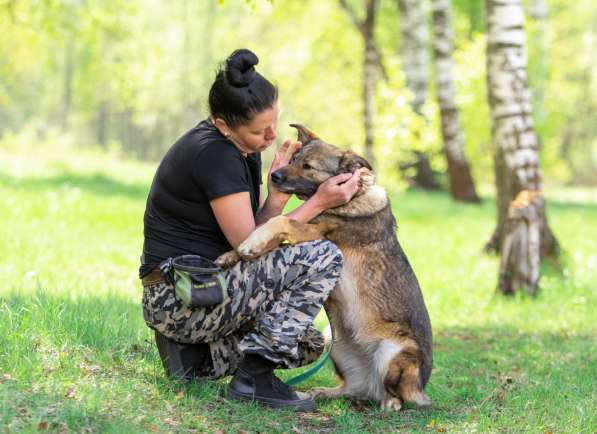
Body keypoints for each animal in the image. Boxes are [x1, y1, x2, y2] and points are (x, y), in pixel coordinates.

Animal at [217, 124, 430, 410]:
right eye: (294, 160)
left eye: (308, 166)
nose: (274, 175)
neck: (351, 196)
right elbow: (268, 232)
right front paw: (234, 253)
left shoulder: (314, 233)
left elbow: (279, 220)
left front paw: (250, 243)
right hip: (334, 342)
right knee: (352, 388)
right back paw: (323, 392)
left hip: (393, 352)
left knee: (395, 393)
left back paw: (391, 403)